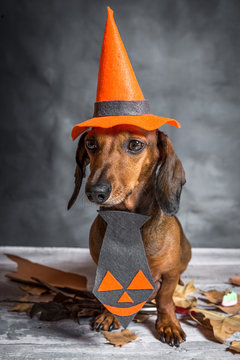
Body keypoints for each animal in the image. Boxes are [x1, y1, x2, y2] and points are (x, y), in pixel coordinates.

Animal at [67, 125, 191, 348]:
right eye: (91, 143)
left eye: (135, 145)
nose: (95, 191)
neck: (126, 224)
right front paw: (109, 315)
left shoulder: (169, 273)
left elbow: (165, 299)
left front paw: (169, 324)